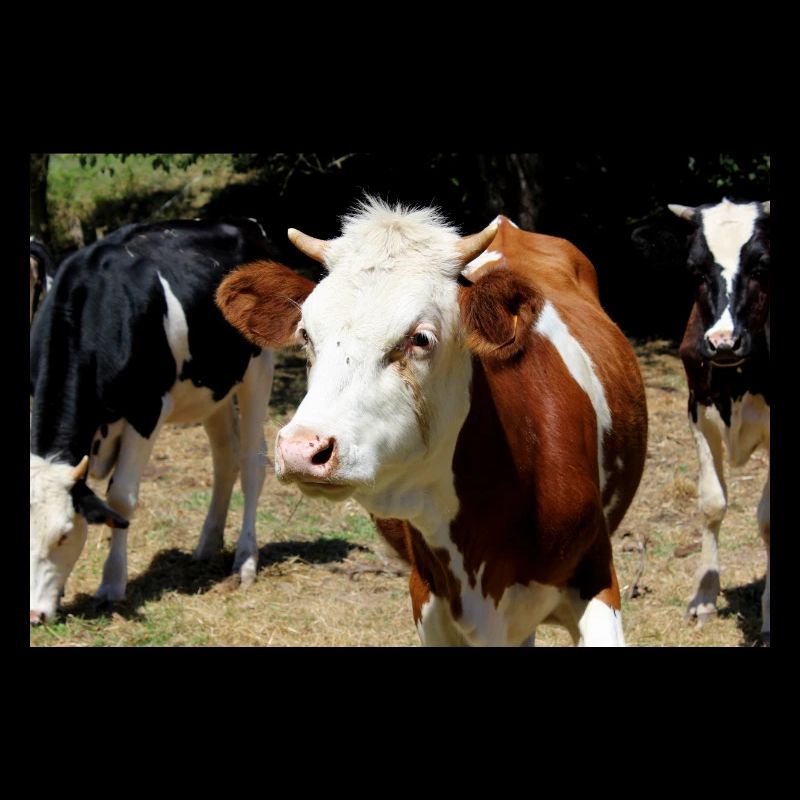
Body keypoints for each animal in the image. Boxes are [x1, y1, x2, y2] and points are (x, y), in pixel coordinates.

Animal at [30, 218, 276, 626]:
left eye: (64, 535)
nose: (34, 615)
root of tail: (245, 224)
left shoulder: (147, 410)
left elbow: (120, 498)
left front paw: (111, 584)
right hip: (212, 387)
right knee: (224, 456)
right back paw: (207, 545)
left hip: (258, 367)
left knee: (252, 461)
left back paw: (245, 561)